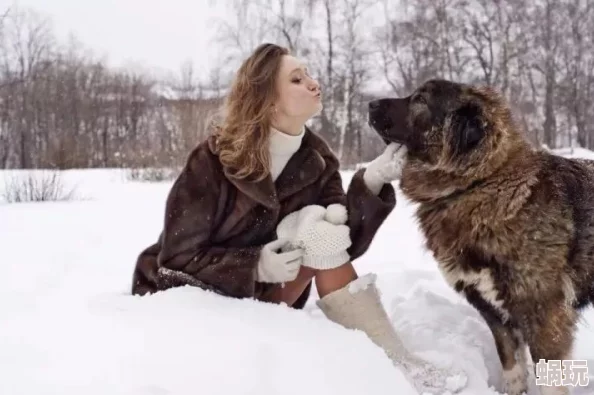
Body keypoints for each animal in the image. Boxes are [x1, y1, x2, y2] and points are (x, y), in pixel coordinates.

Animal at [368, 78, 588, 395]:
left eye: (420, 100)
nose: (369, 103)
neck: (480, 183)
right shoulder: (493, 310)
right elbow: (510, 363)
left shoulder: (545, 315)